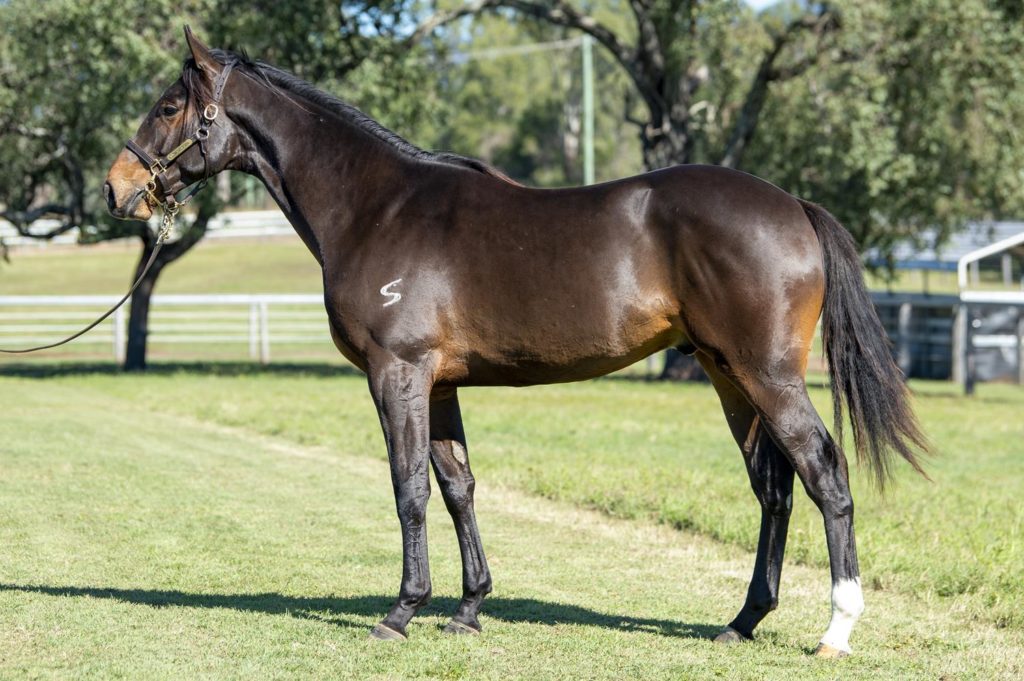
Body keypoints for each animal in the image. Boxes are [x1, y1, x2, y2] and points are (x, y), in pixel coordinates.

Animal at [104, 28, 927, 657]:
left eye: (169, 106)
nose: (117, 189)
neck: (376, 207)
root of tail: (792, 204)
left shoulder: (397, 374)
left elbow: (408, 487)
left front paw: (401, 611)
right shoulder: (438, 383)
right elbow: (457, 485)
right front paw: (468, 607)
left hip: (768, 375)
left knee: (825, 473)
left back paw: (836, 629)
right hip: (729, 376)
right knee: (774, 487)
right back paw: (742, 621)